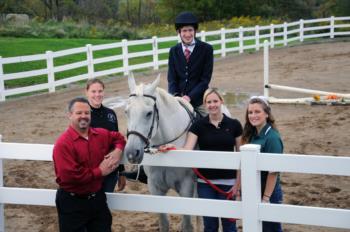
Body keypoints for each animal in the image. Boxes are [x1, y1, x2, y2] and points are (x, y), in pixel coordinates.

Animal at [123, 74, 196, 232]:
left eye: (149, 113)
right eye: (126, 112)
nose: (132, 153)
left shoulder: (186, 187)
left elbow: (187, 225)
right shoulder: (155, 188)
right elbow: (163, 223)